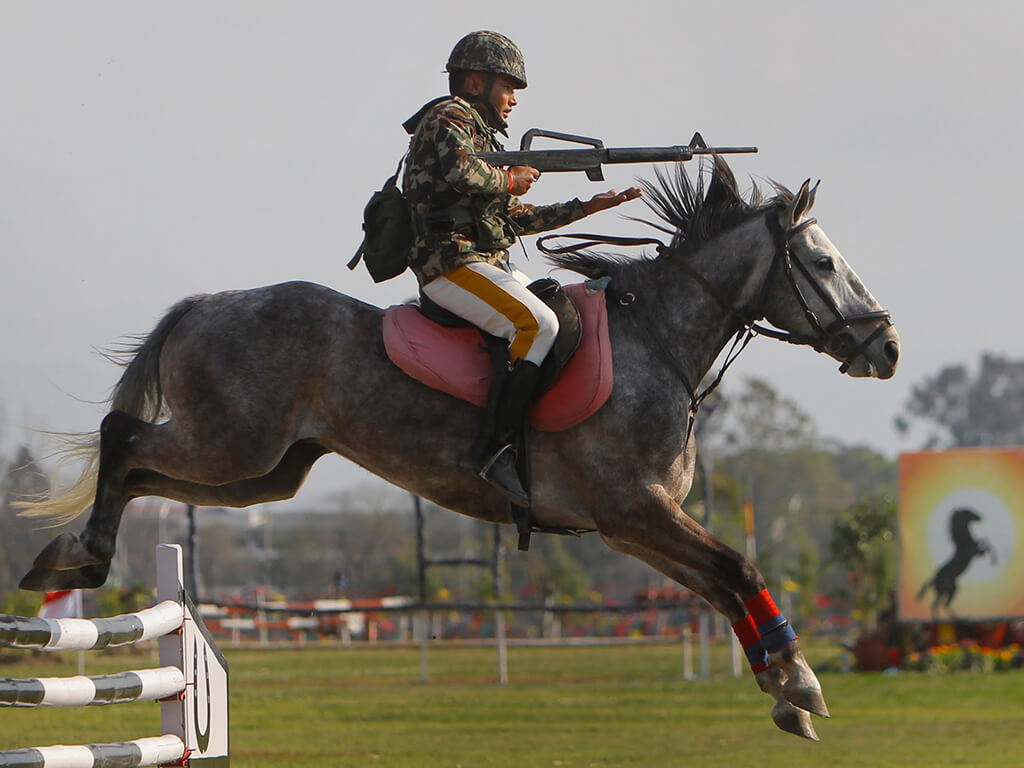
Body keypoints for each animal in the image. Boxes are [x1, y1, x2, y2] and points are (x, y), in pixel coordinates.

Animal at [16, 159, 897, 741]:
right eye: (822, 263)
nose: (885, 347)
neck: (657, 340)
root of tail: (204, 304)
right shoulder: (634, 508)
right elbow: (739, 570)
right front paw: (801, 681)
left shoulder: (630, 527)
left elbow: (723, 585)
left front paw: (785, 685)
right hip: (232, 445)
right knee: (123, 439)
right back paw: (83, 558)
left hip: (260, 475)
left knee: (140, 469)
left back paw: (68, 555)